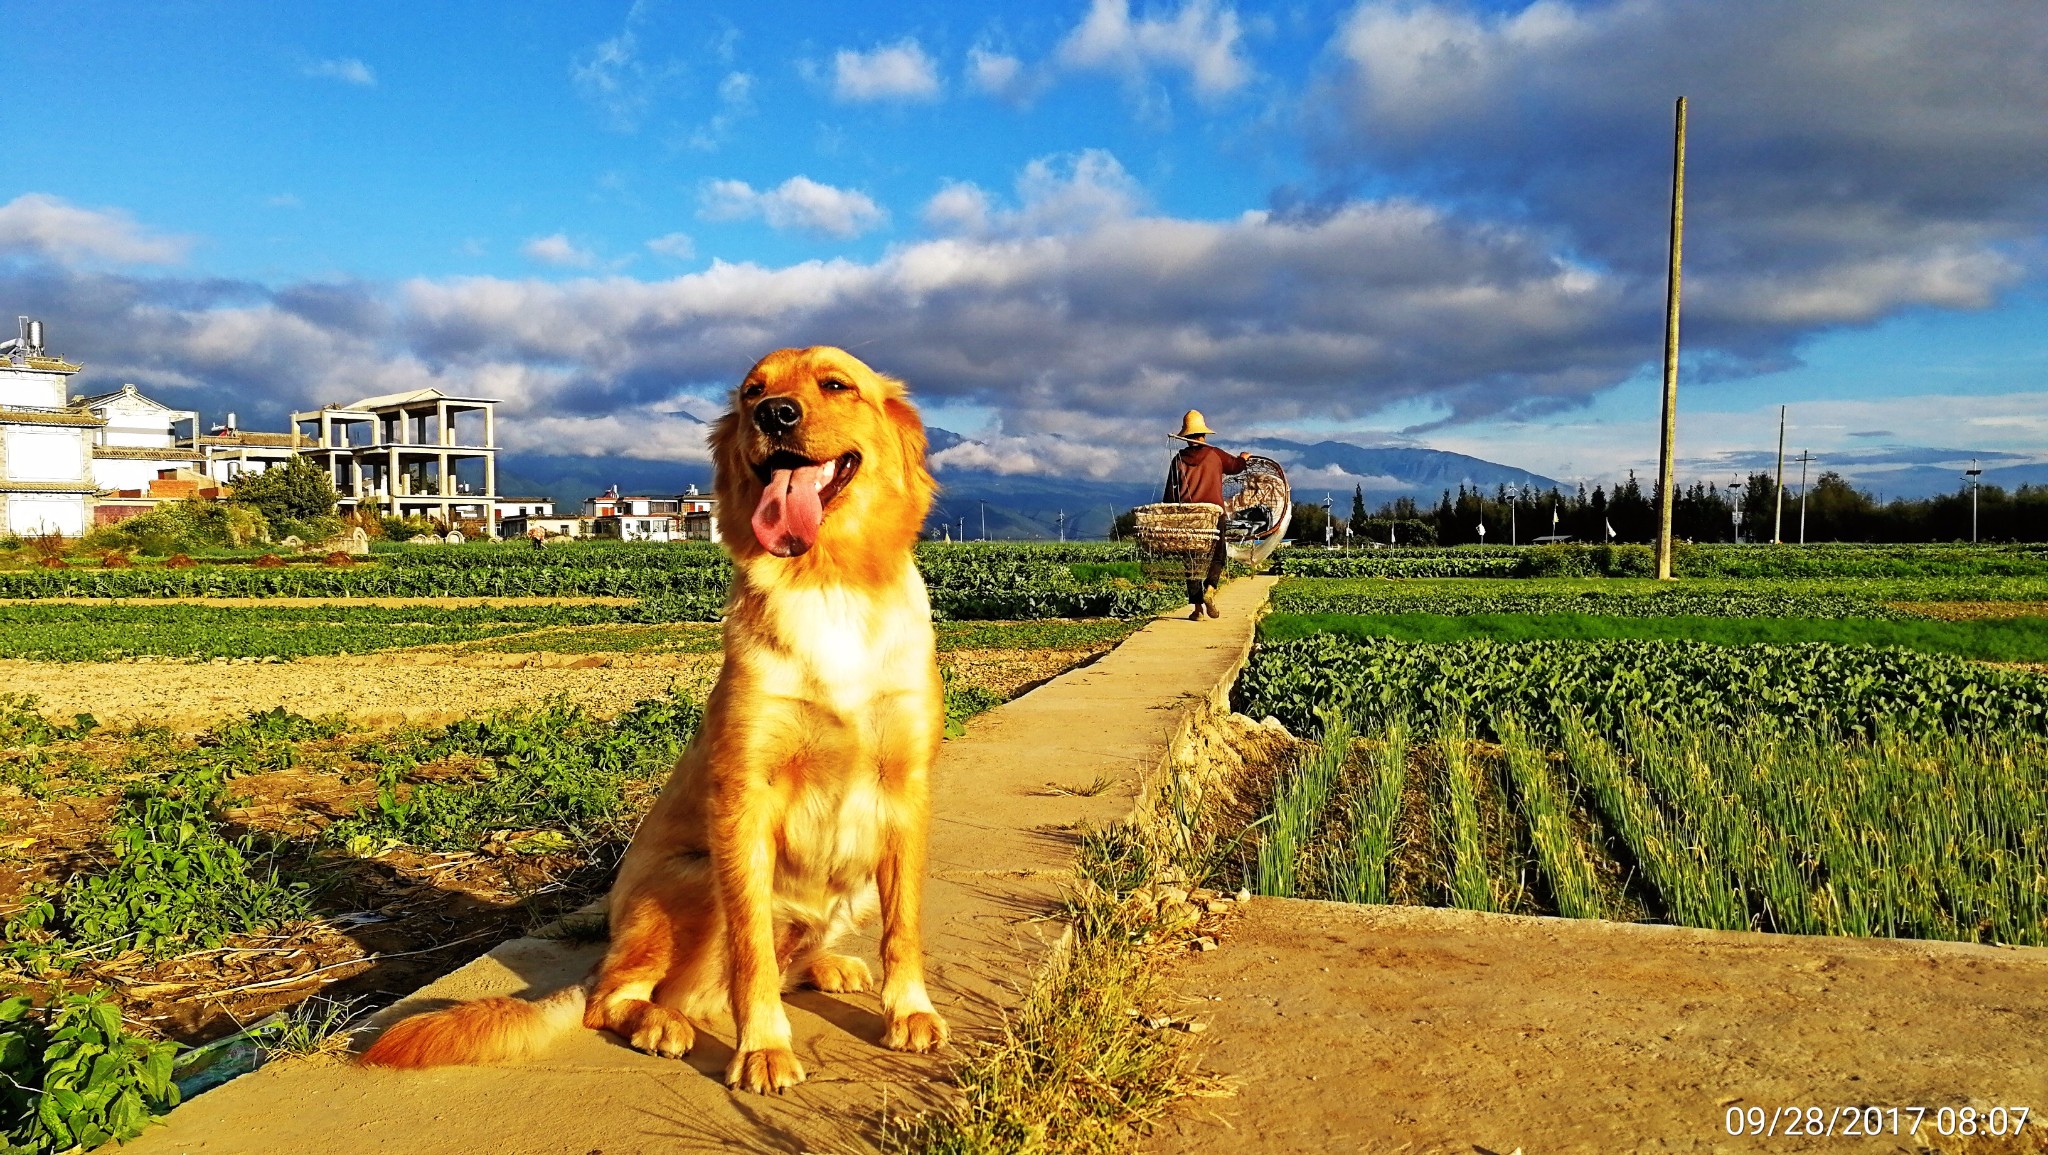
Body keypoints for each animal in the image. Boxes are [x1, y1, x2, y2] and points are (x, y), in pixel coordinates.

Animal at [358, 348, 942, 1089]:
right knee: (616, 997)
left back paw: (824, 965)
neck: (825, 579)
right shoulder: (743, 798)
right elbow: (752, 950)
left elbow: (905, 926)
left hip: (850, 884)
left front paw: (910, 1010)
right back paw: (660, 1020)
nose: (774, 414)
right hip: (691, 879)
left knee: (780, 965)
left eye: (836, 384)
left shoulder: (906, 789)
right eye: (753, 391)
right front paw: (763, 1048)